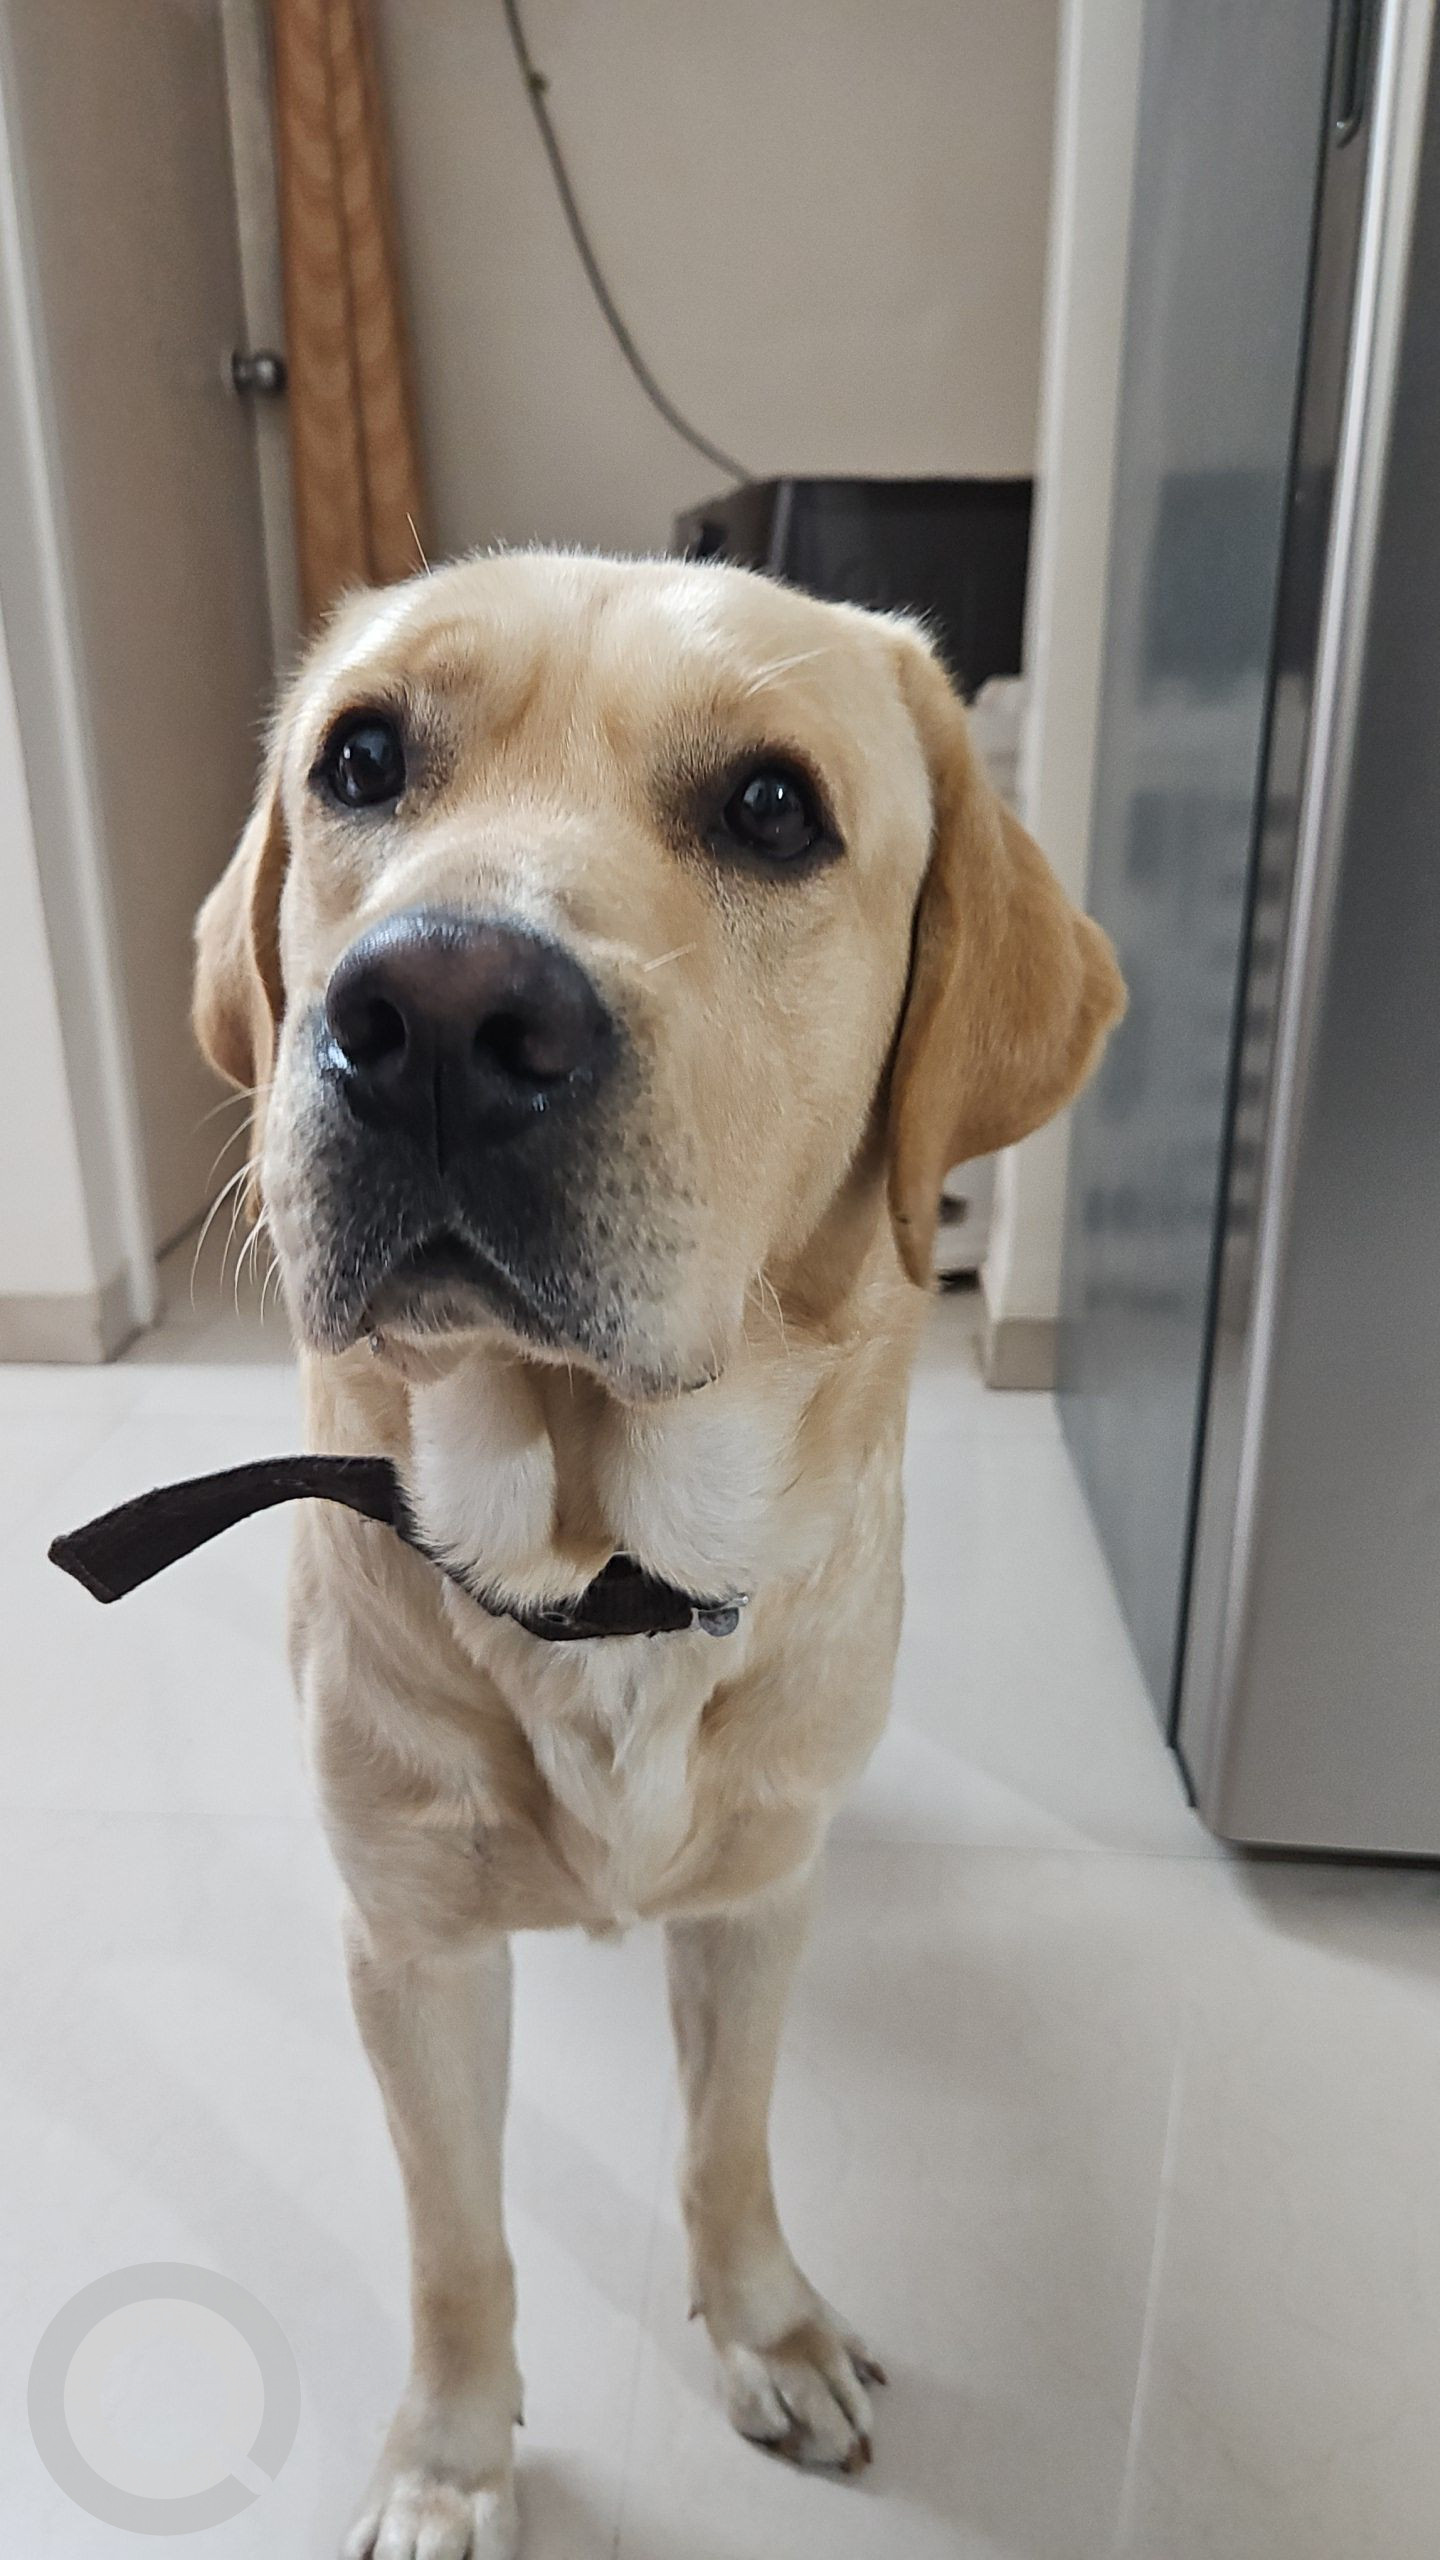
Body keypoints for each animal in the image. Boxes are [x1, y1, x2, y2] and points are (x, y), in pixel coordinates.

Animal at [193, 548, 1123, 2559]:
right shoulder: (411, 1947)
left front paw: (767, 2329)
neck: (597, 1557)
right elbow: (456, 2245)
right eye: (361, 758)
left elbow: (729, 2143)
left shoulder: (760, 1898)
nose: (437, 1015)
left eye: (774, 808)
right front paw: (452, 2461)